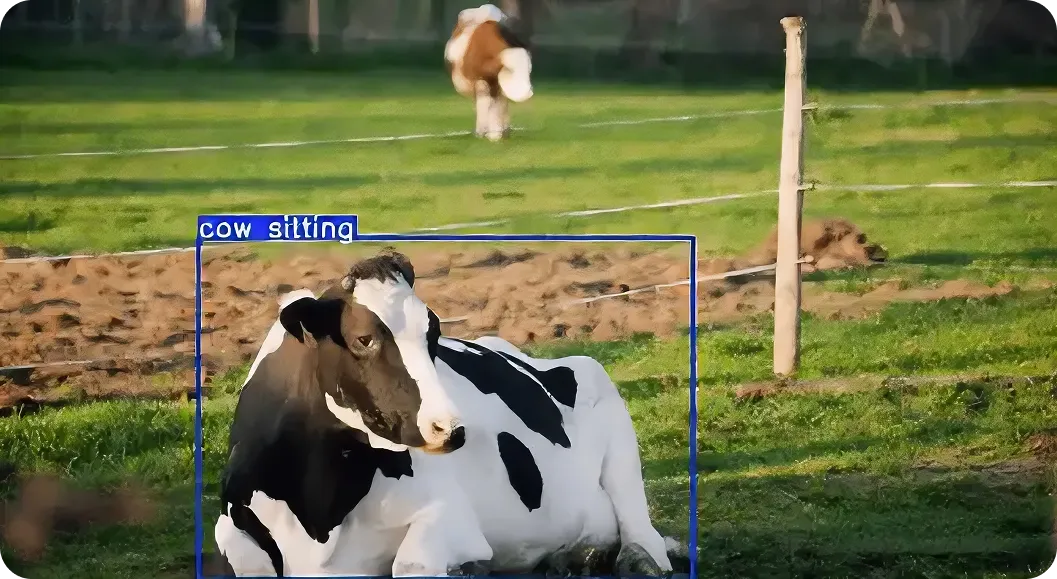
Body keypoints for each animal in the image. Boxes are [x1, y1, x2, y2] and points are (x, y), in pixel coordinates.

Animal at [213, 249, 682, 577]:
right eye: (364, 339)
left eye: (433, 331)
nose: (450, 429)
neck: (321, 510)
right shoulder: (229, 524)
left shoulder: (450, 515)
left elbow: (412, 563)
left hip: (607, 406)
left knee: (641, 532)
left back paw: (636, 559)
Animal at [444, 4, 533, 142]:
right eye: (510, 69)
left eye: (529, 68)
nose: (527, 93)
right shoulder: (481, 81)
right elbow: (488, 104)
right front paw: (490, 134)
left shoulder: (495, 83)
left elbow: (499, 104)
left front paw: (499, 133)